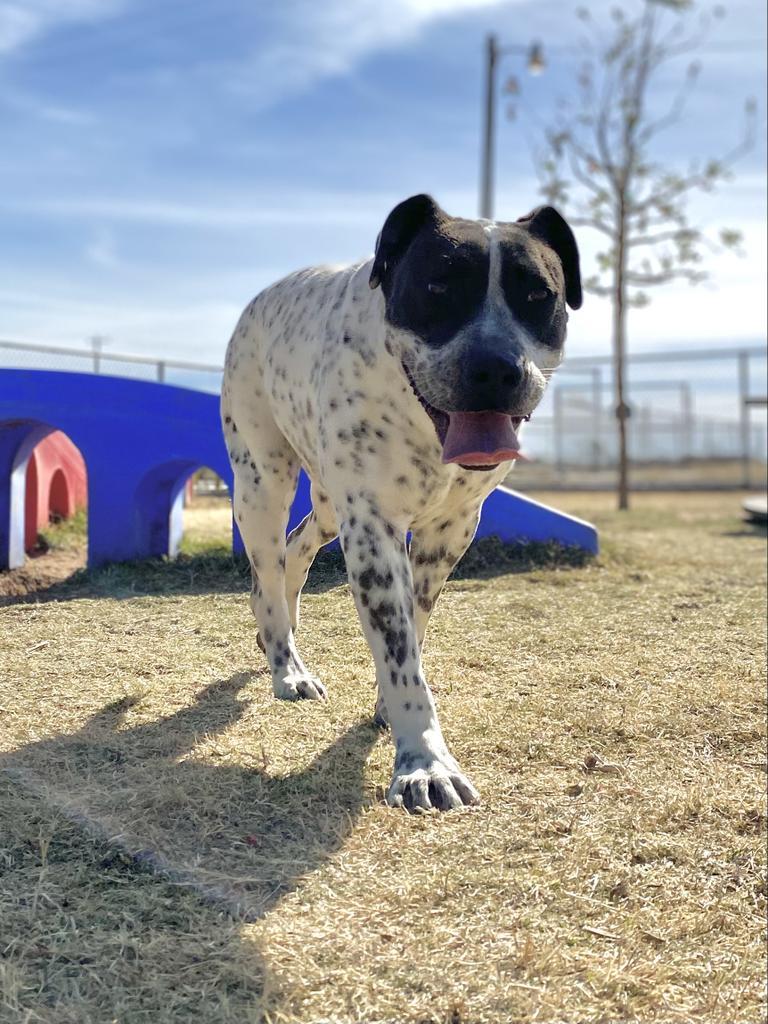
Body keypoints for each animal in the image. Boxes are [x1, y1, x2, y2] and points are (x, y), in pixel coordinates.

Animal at [222, 195, 581, 811]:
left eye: (538, 294)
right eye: (437, 285)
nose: (495, 367)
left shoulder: (450, 531)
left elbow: (413, 626)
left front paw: (389, 710)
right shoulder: (372, 529)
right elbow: (399, 649)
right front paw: (425, 764)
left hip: (326, 504)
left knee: (295, 549)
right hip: (262, 483)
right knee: (266, 572)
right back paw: (285, 666)